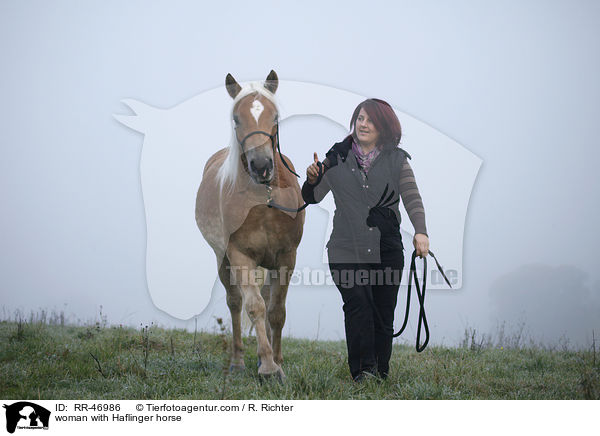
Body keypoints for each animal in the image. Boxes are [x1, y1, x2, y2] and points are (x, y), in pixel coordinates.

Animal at [196, 70, 302, 378]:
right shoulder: (240, 255)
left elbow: (276, 312)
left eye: (275, 116)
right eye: (236, 119)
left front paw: (277, 361)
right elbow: (254, 307)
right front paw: (268, 366)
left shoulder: (286, 257)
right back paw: (238, 361)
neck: (263, 201)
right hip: (223, 259)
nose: (261, 166)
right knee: (236, 302)